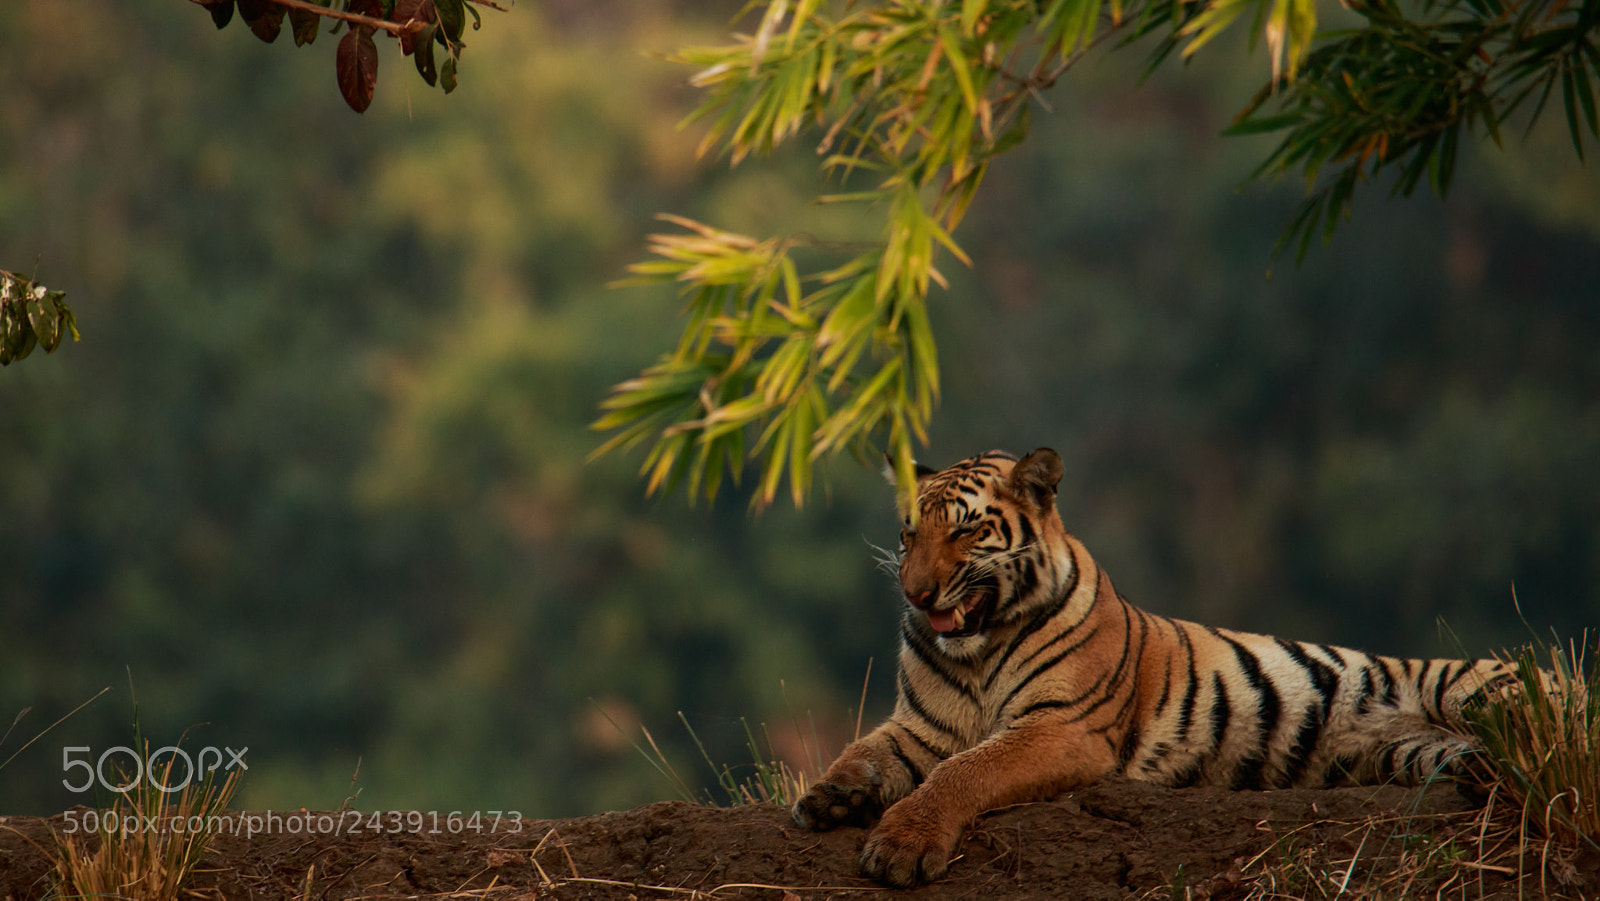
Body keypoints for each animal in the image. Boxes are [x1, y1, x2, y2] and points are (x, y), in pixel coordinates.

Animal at [792, 448, 1528, 887]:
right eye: (909, 533)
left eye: (967, 529)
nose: (915, 593)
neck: (976, 652)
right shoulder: (919, 728)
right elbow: (863, 753)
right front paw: (828, 797)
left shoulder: (1060, 727)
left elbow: (964, 772)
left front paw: (902, 844)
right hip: (1413, 754)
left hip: (1472, 687)